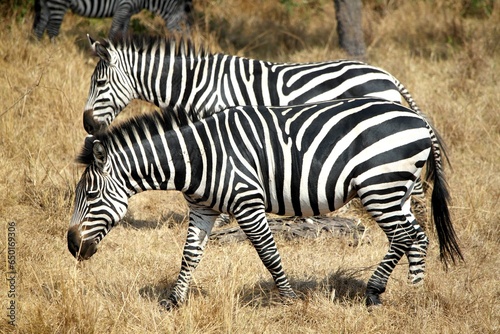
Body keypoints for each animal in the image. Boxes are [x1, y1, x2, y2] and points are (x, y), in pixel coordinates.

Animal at [31, 0, 191, 40]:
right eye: (182, 24)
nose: (189, 40)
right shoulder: (124, 7)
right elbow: (114, 30)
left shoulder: (128, 12)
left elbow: (124, 31)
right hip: (59, 3)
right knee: (52, 30)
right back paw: (54, 52)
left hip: (47, 4)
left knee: (40, 27)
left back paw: (38, 48)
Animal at [68, 98, 462, 310]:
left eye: (91, 196)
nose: (72, 246)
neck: (198, 157)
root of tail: (419, 120)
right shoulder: (202, 208)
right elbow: (190, 255)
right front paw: (173, 301)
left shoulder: (247, 203)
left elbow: (268, 253)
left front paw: (288, 298)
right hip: (398, 189)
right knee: (415, 236)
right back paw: (407, 291)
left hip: (380, 186)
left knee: (406, 236)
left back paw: (382, 293)